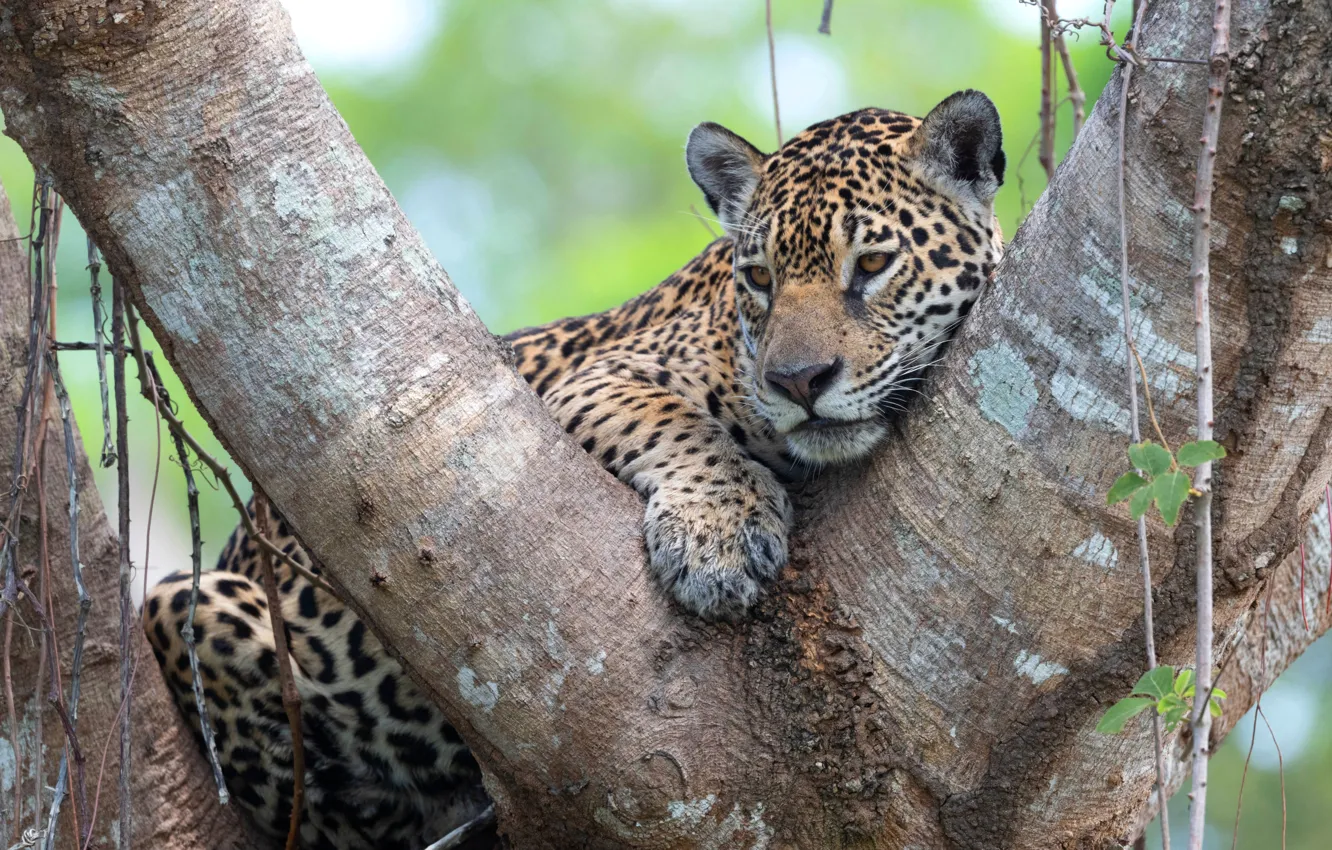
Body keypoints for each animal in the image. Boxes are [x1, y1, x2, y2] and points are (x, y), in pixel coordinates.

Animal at [144, 90, 1005, 849]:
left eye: (874, 264)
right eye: (760, 278)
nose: (798, 382)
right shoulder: (588, 383)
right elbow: (679, 425)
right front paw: (718, 540)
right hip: (185, 602)